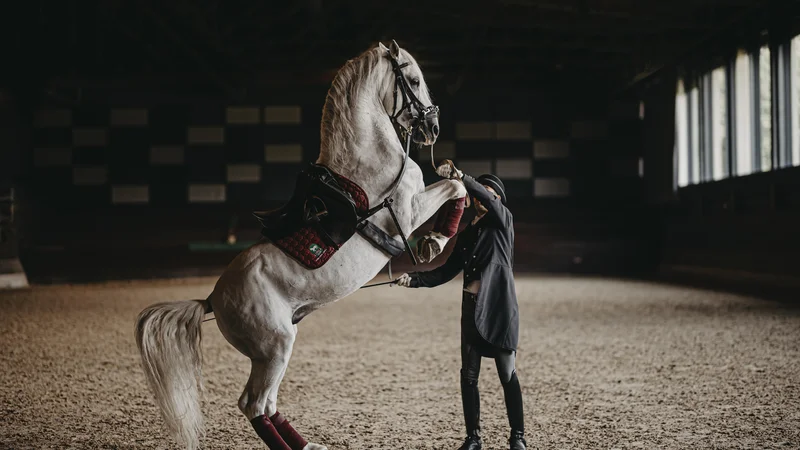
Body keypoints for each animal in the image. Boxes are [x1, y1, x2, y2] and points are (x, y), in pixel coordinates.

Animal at [134, 39, 466, 450]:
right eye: (415, 81)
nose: (432, 129)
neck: (369, 161)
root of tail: (212, 299)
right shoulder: (407, 211)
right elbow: (456, 187)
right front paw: (434, 241)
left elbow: (456, 182)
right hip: (276, 347)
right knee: (254, 403)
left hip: (273, 352)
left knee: (268, 403)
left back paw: (308, 444)